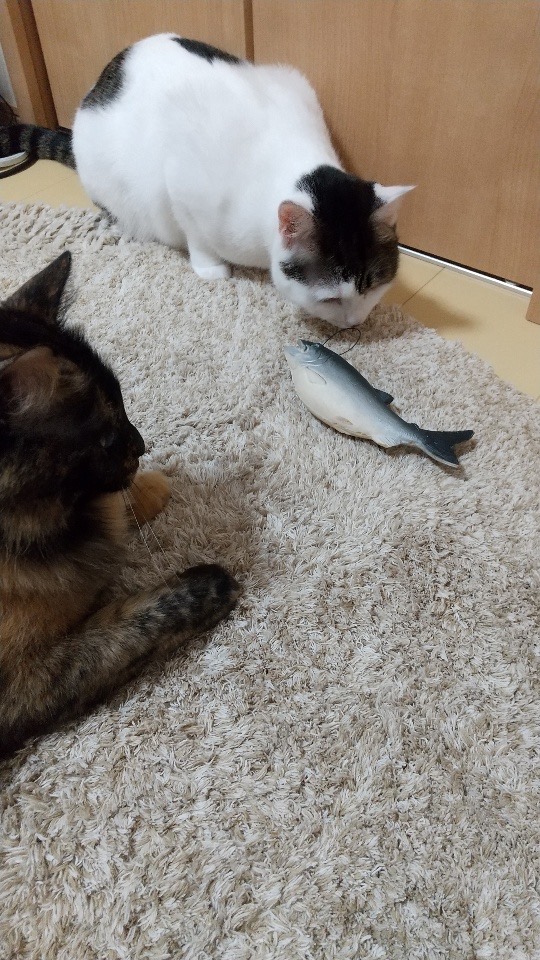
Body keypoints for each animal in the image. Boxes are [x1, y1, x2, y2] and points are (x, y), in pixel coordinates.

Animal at [0, 36, 414, 329]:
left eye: (375, 285)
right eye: (330, 299)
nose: (355, 323)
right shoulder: (183, 182)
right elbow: (196, 233)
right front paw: (210, 268)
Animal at [0, 251, 239, 760]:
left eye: (124, 402)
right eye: (108, 439)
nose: (141, 444)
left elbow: (113, 505)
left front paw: (152, 488)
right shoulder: (22, 685)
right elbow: (123, 631)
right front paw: (209, 585)